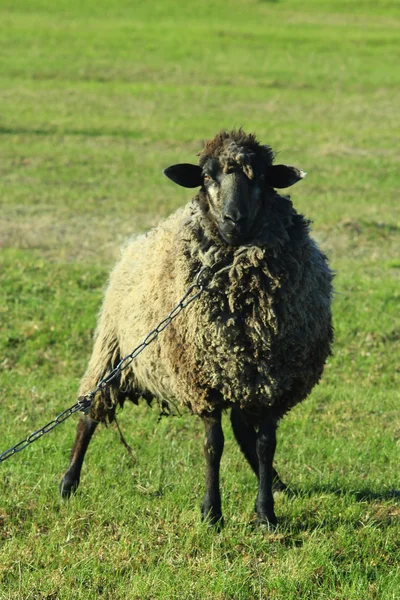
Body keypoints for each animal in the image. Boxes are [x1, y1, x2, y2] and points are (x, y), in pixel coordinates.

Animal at [60, 129, 334, 528]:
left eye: (261, 177)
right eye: (205, 176)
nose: (233, 218)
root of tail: (135, 243)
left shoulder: (273, 381)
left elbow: (265, 444)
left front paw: (266, 513)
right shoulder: (202, 382)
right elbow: (212, 446)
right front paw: (212, 512)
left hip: (240, 377)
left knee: (243, 432)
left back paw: (275, 482)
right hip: (112, 350)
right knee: (88, 413)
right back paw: (68, 482)